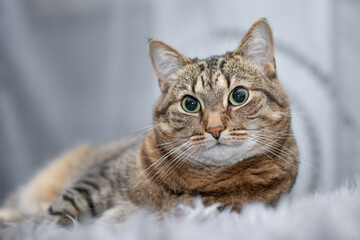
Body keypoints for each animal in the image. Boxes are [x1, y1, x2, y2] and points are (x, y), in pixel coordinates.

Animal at [0, 18, 298, 225]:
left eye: (239, 96)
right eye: (190, 104)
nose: (215, 129)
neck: (200, 180)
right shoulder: (101, 175)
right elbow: (65, 206)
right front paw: (42, 227)